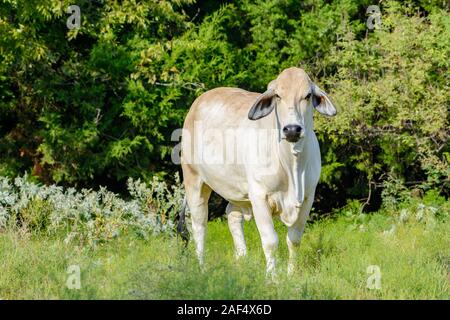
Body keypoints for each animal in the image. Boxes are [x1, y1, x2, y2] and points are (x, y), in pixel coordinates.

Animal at [178, 67, 336, 276]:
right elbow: (270, 241)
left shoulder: (308, 198)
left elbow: (294, 239)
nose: (292, 129)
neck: (291, 165)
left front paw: (291, 274)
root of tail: (201, 99)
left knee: (232, 215)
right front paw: (272, 277)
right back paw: (202, 267)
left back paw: (242, 259)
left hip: (238, 191)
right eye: (277, 95)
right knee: (198, 225)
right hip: (194, 180)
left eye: (307, 95)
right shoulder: (259, 196)